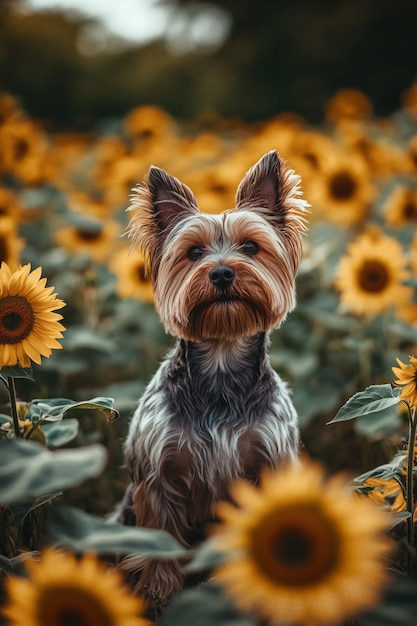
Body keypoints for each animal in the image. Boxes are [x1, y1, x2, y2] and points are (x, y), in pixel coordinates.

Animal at [115, 149, 308, 604]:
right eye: (193, 252)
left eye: (251, 247)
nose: (221, 272)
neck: (221, 361)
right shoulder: (157, 475)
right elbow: (160, 534)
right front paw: (157, 591)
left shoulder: (269, 461)